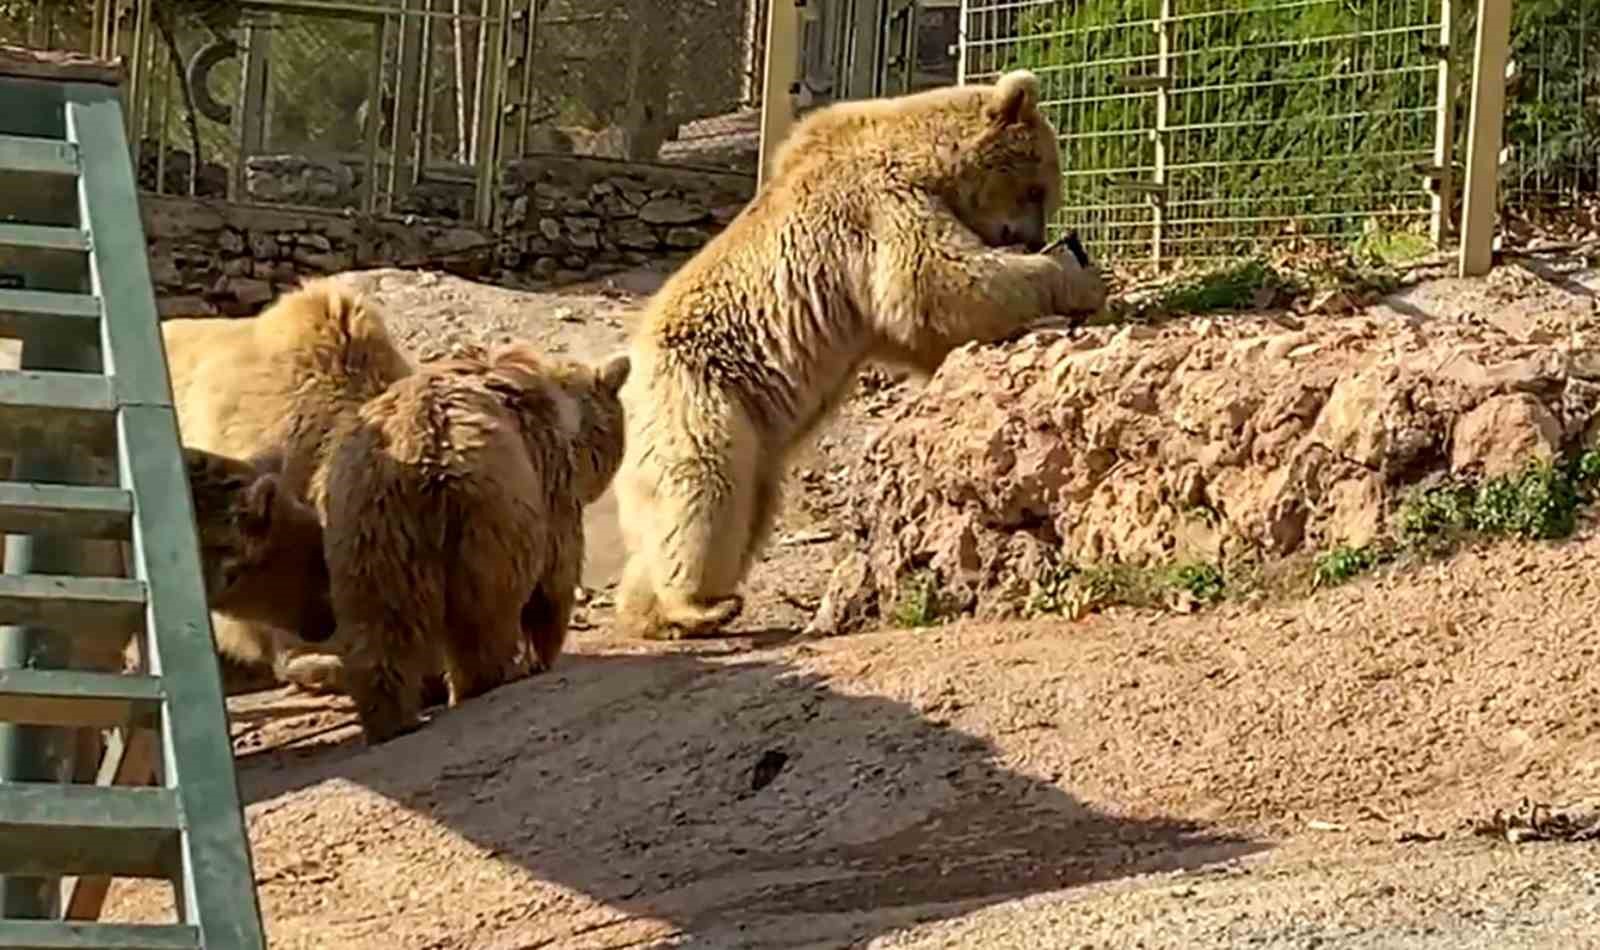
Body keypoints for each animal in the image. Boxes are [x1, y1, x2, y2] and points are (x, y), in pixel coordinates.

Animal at [321, 340, 627, 738]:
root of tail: (418, 451)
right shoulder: (550, 481)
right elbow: (555, 577)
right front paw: (544, 654)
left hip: (369, 524)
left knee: (380, 622)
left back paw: (391, 718)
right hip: (488, 515)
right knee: (484, 614)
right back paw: (487, 678)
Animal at [611, 70, 1113, 639]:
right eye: (1038, 188)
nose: (1032, 238)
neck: (924, 156)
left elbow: (923, 325)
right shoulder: (877, 203)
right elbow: (934, 280)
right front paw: (1079, 280)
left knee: (742, 506)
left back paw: (651, 609)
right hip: (700, 394)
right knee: (705, 486)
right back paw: (695, 606)